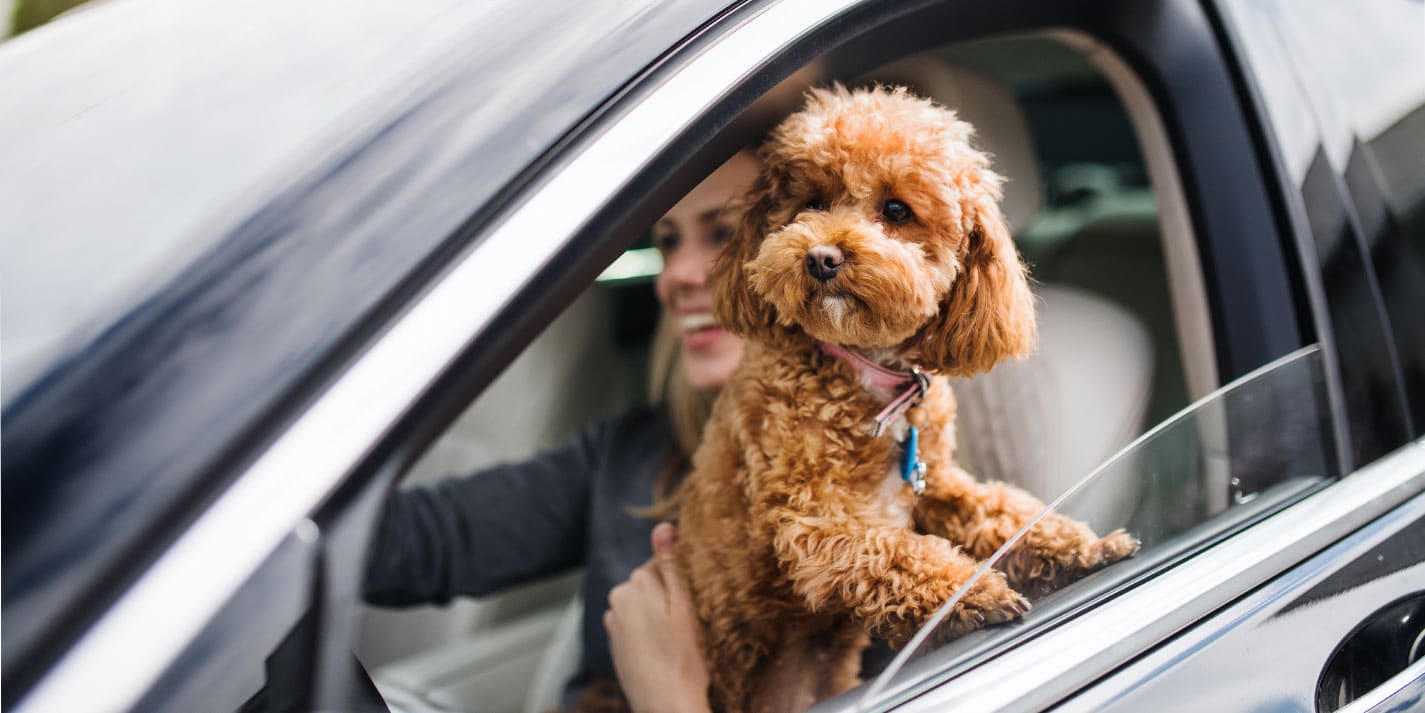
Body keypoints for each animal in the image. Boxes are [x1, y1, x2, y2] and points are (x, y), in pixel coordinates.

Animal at [672, 87, 1140, 713]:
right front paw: (974, 594)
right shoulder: (815, 517)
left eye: (896, 211)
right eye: (811, 201)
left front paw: (1083, 546)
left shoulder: (935, 482)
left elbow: (1002, 512)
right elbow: (896, 552)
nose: (821, 257)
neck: (874, 378)